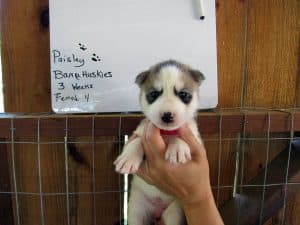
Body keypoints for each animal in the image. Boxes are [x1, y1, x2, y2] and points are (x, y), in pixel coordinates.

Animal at [113, 59, 205, 225]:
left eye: (183, 94)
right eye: (154, 94)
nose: (167, 115)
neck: (166, 133)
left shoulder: (195, 137)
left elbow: (180, 136)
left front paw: (177, 148)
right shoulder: (140, 131)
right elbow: (137, 141)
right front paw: (128, 158)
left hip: (174, 212)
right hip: (137, 208)